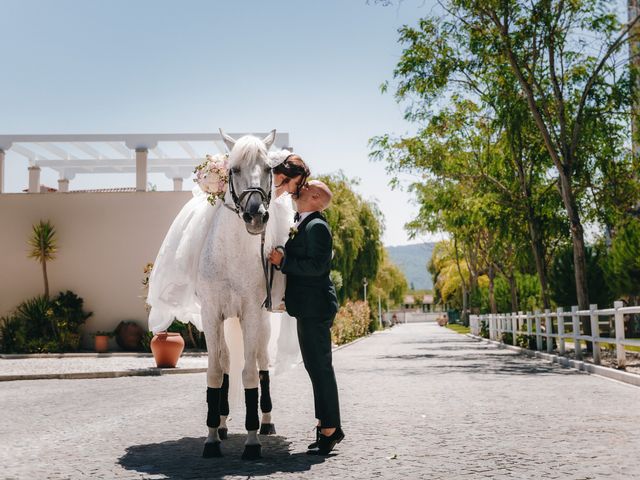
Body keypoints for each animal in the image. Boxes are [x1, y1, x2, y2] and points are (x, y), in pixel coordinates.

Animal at [198, 129, 282, 460]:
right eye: (233, 170)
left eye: (270, 168)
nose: (255, 215)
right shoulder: (211, 315)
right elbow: (215, 372)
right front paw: (211, 438)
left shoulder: (251, 315)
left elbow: (248, 374)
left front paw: (252, 440)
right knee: (224, 361)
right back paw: (221, 425)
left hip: (262, 324)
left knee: (262, 363)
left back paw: (267, 422)